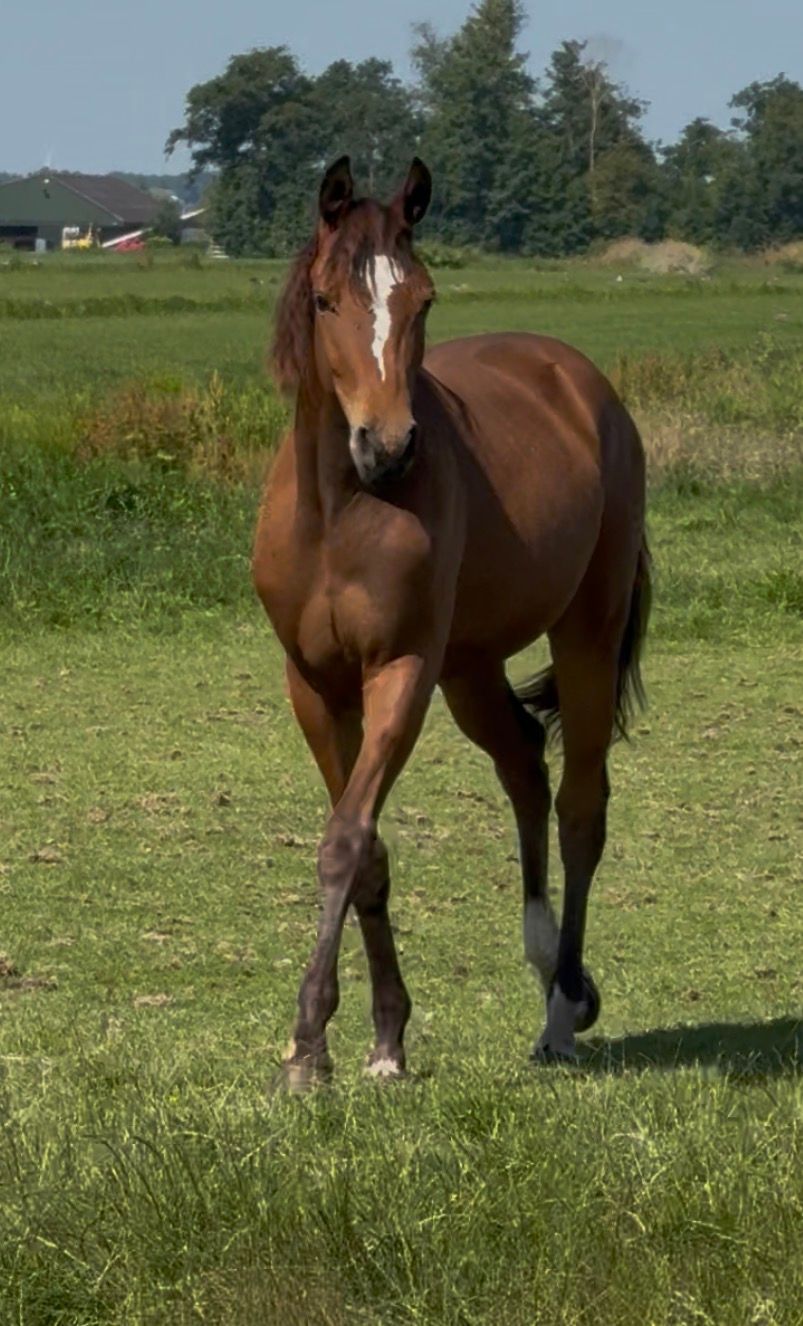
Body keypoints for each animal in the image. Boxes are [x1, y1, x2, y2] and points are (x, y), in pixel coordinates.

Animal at [252, 156, 650, 1087]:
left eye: (423, 299)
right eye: (325, 299)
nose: (389, 446)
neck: (338, 510)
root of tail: (582, 385)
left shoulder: (399, 671)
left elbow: (345, 840)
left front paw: (309, 1045)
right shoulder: (314, 685)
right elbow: (367, 852)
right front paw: (383, 1038)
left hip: (584, 633)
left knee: (579, 807)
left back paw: (561, 1011)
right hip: (469, 669)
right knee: (523, 768)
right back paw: (547, 965)